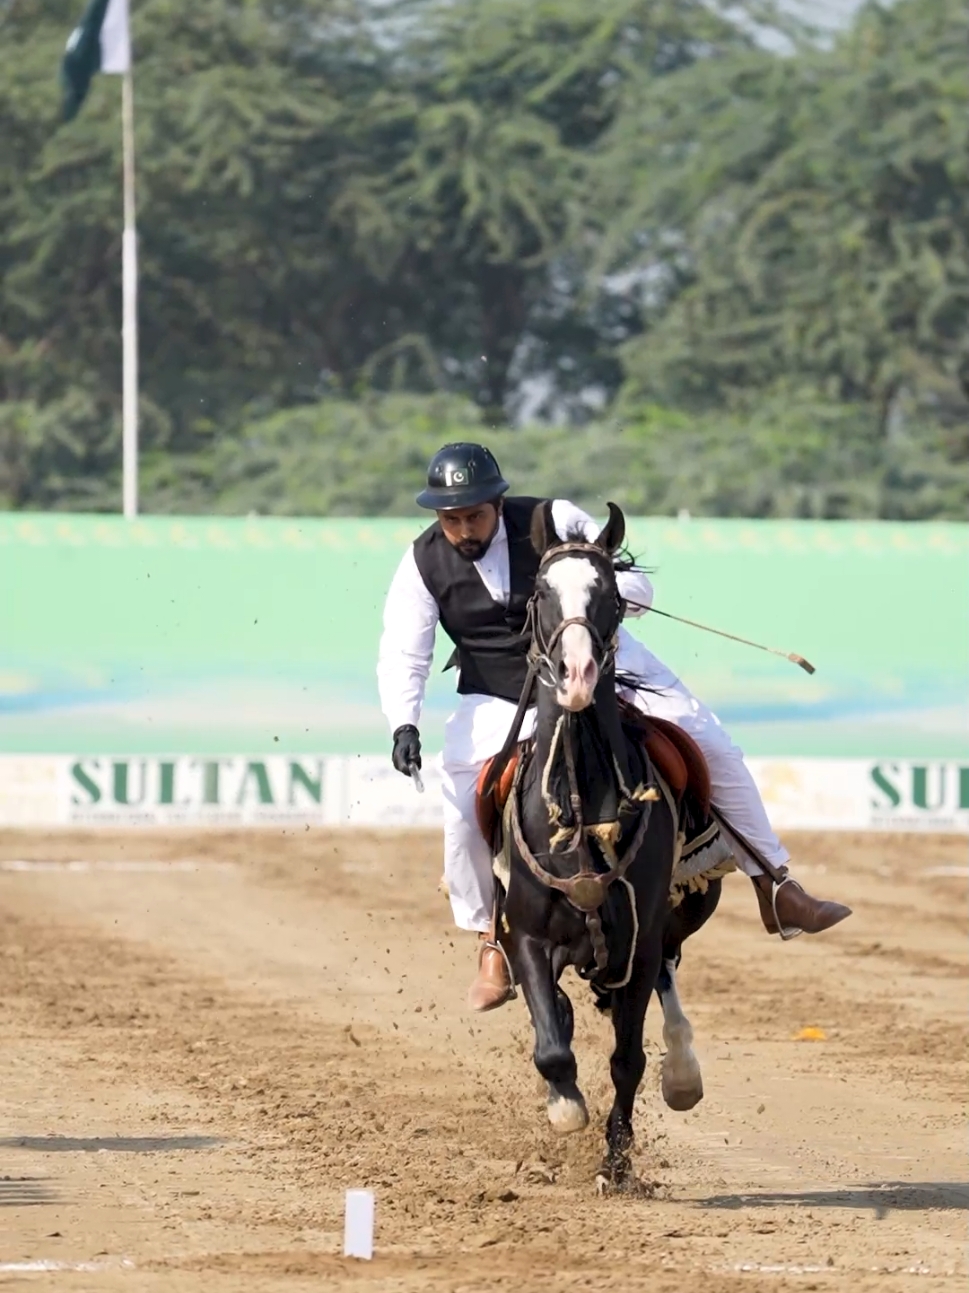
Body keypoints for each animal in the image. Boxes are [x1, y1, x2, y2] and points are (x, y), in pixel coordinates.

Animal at [499, 499, 719, 1184]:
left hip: (673, 920)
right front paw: (566, 1108)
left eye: (611, 596)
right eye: (540, 591)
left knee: (668, 985)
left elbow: (628, 1058)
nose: (575, 675)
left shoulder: (640, 941)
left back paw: (684, 1072)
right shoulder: (526, 934)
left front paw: (615, 1162)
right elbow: (551, 1046)